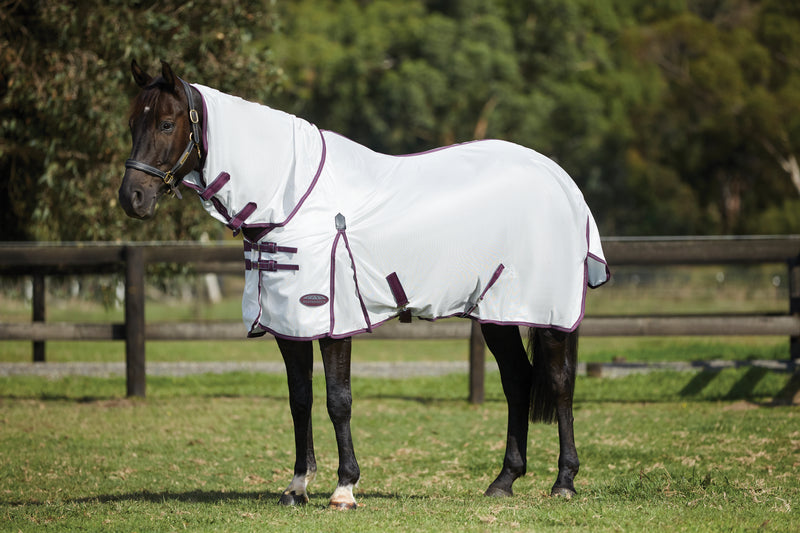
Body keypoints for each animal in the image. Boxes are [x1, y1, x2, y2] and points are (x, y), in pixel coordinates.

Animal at [118, 60, 609, 509]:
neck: (294, 199)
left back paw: (564, 482)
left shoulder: (334, 321)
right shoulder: (288, 325)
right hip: (496, 313)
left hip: (546, 313)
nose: (132, 198)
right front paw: (297, 487)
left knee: (560, 383)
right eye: (131, 122)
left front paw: (344, 489)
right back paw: (504, 481)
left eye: (166, 123)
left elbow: (338, 400)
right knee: (517, 381)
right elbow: (300, 399)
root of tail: (561, 180)